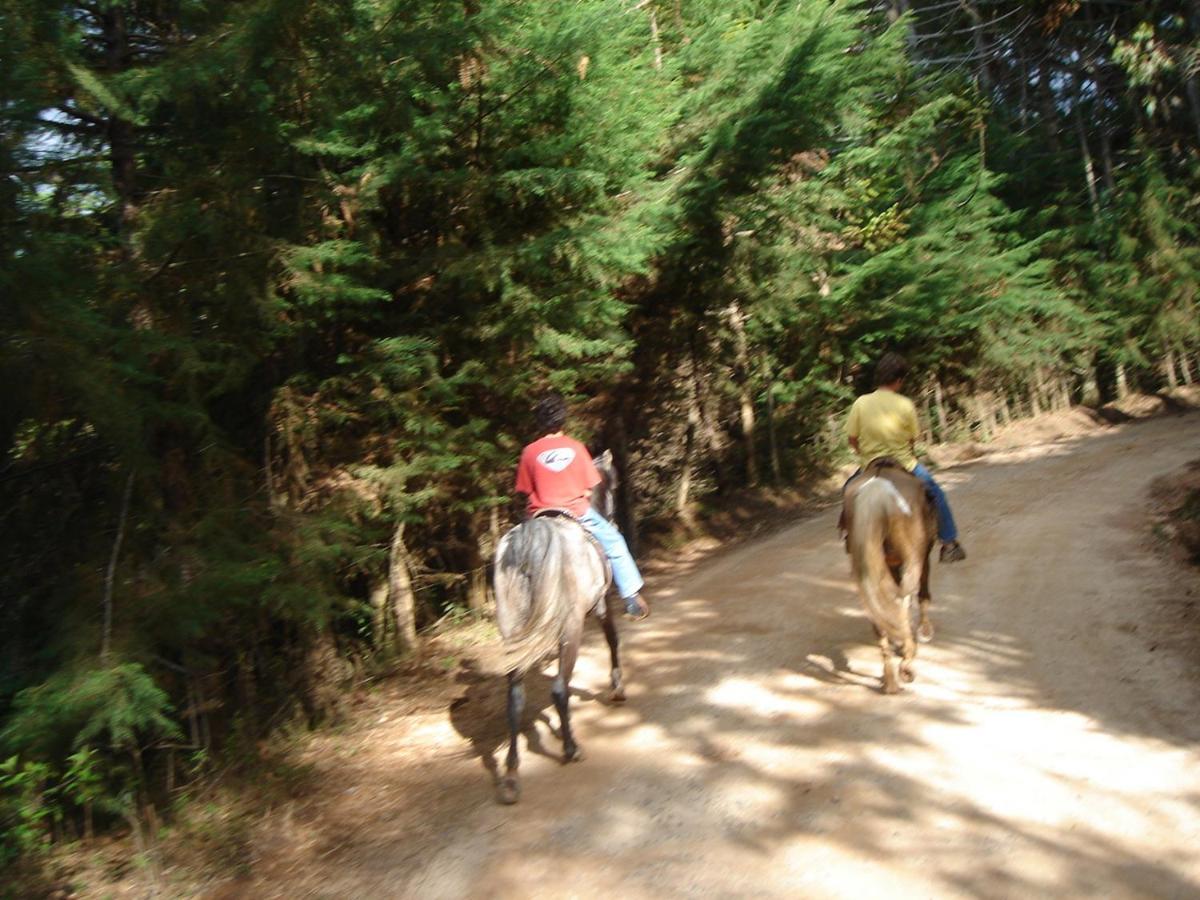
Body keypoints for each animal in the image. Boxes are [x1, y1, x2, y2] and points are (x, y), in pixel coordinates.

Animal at [844, 460, 936, 696]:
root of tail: (876, 486)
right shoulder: (923, 557)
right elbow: (922, 594)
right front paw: (924, 631)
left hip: (866, 569)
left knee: (876, 610)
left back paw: (890, 679)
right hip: (912, 560)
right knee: (903, 598)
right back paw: (907, 662)